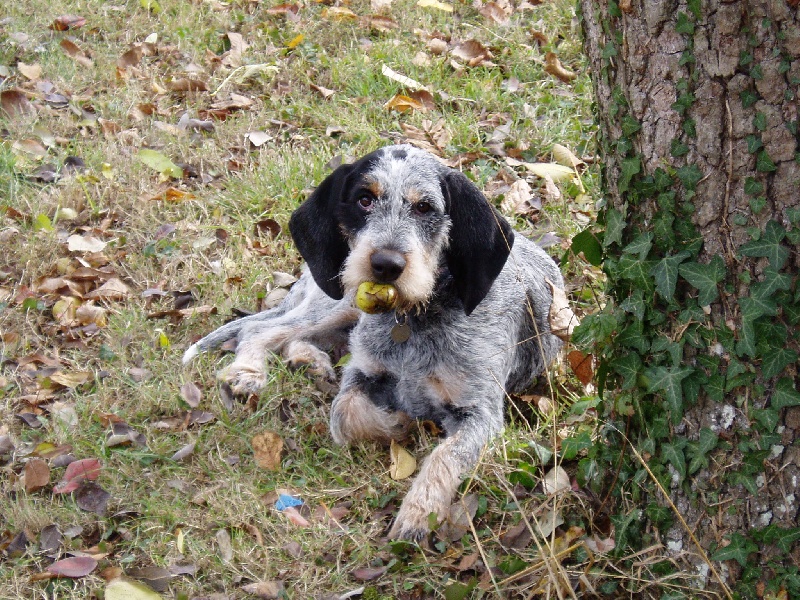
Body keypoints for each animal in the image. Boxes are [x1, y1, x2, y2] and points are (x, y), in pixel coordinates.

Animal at [184, 144, 564, 540]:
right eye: (364, 199)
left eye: (424, 207)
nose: (386, 264)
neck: (412, 319)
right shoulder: (363, 369)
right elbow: (345, 412)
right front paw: (399, 422)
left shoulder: (480, 412)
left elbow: (444, 456)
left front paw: (417, 514)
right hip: (339, 301)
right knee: (262, 330)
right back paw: (248, 372)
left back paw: (307, 362)